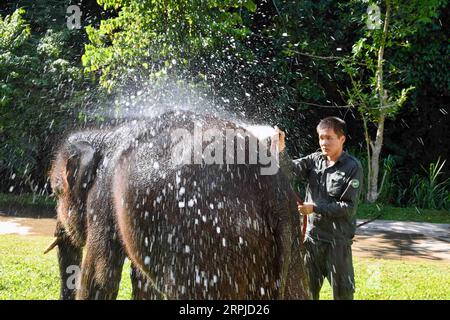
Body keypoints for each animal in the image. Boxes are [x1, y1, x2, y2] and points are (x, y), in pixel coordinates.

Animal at [47, 110, 312, 300]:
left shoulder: (103, 198)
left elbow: (100, 276)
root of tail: (272, 191)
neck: (104, 135)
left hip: (209, 244)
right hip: (289, 243)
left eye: (56, 191)